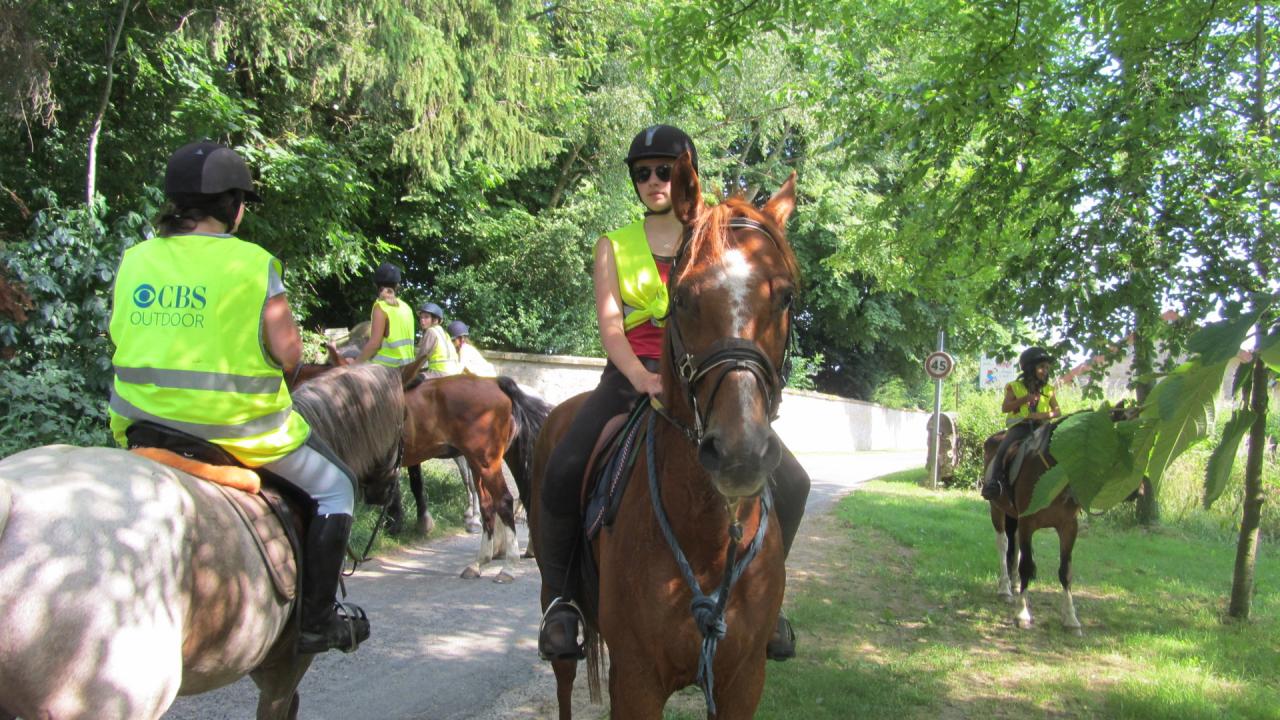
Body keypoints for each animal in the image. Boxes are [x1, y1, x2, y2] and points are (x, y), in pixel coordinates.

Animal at [983, 404, 1136, 632]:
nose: (1136, 491)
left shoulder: (1068, 527)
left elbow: (1066, 571)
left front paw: (1071, 618)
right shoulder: (1028, 523)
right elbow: (1027, 566)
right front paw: (1022, 614)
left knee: (1014, 545)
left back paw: (1015, 583)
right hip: (997, 510)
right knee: (1003, 544)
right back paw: (1005, 588)